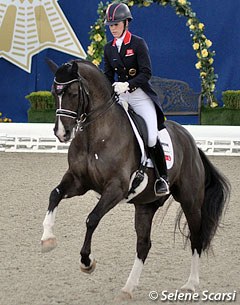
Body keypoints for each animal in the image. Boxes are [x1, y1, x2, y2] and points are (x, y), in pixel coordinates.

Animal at [41, 58, 231, 298]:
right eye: (52, 93)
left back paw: (191, 284)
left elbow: (91, 219)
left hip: (190, 201)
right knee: (144, 244)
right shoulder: (78, 181)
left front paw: (87, 262)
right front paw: (47, 239)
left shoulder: (115, 188)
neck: (95, 136)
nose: (61, 133)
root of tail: (191, 142)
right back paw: (128, 288)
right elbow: (54, 195)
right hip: (145, 205)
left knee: (196, 237)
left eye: (73, 93)